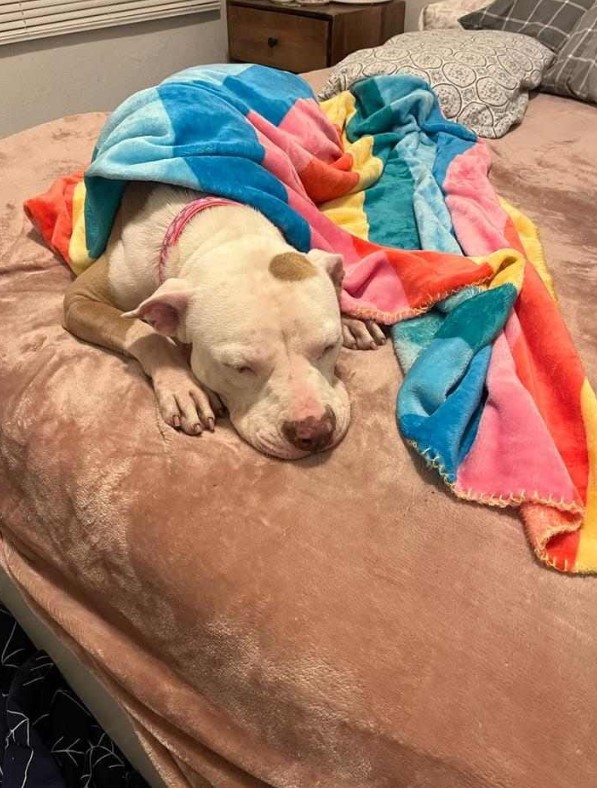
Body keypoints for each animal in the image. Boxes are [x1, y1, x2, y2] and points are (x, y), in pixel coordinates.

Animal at [62, 182, 384, 458]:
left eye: (329, 347)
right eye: (240, 368)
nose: (314, 431)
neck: (220, 228)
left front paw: (351, 314)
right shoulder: (78, 299)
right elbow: (145, 331)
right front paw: (183, 386)